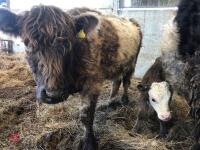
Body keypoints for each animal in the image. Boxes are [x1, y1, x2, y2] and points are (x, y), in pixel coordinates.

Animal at [0, 5, 142, 149]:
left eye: (68, 43)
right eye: (27, 43)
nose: (53, 94)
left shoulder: (93, 82)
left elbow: (86, 116)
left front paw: (90, 143)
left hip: (132, 62)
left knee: (126, 81)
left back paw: (124, 100)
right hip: (118, 64)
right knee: (116, 82)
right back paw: (109, 102)